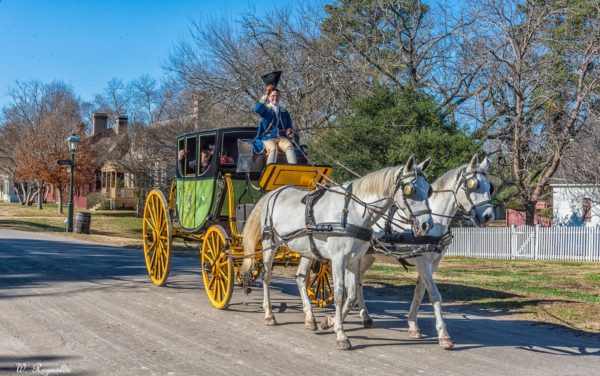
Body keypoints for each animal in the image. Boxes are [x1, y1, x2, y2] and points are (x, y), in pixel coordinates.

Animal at [241, 156, 434, 350]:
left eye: (429, 190)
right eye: (409, 190)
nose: (427, 225)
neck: (353, 211)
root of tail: (274, 193)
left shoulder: (353, 259)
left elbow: (352, 295)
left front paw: (330, 322)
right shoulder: (338, 258)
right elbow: (340, 294)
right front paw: (341, 334)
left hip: (306, 249)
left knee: (301, 277)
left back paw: (310, 318)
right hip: (270, 242)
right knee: (266, 276)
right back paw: (269, 315)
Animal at [354, 154, 494, 348]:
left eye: (490, 187)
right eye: (475, 184)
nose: (488, 217)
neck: (434, 219)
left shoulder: (433, 263)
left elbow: (419, 293)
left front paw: (413, 325)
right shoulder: (422, 261)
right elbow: (434, 295)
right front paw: (443, 334)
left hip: (369, 257)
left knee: (357, 281)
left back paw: (362, 313)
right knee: (355, 281)